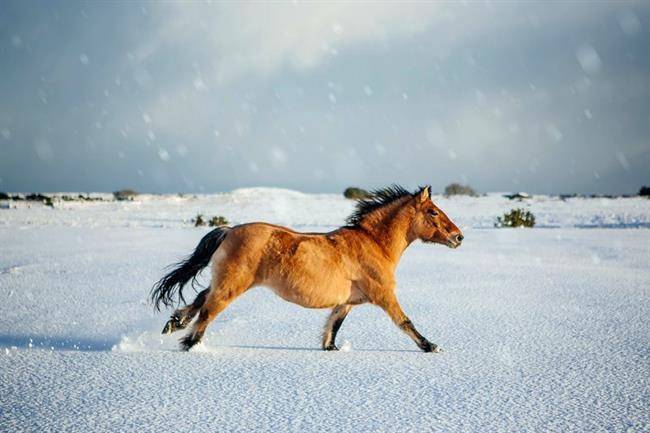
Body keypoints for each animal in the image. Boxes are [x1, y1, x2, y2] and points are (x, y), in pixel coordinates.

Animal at [151, 185, 460, 352]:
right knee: (207, 310)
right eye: (433, 211)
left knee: (201, 297)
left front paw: (330, 349)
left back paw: (174, 323)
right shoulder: (383, 295)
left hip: (225, 280)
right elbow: (405, 321)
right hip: (232, 285)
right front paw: (431, 346)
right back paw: (189, 342)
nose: (459, 237)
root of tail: (229, 231)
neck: (374, 244)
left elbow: (333, 326)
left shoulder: (346, 302)